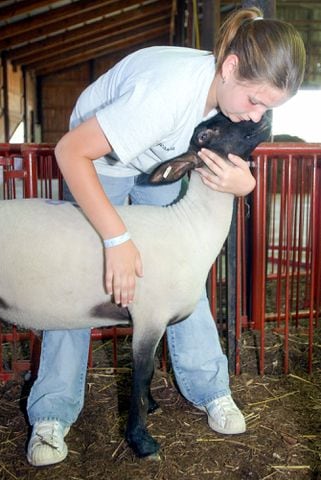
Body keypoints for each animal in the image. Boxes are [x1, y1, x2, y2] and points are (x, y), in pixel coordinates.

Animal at [0, 111, 270, 458]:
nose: (264, 116)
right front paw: (141, 440)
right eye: (206, 134)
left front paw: (152, 405)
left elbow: (148, 371)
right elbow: (141, 374)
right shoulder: (148, 316)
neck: (191, 227)